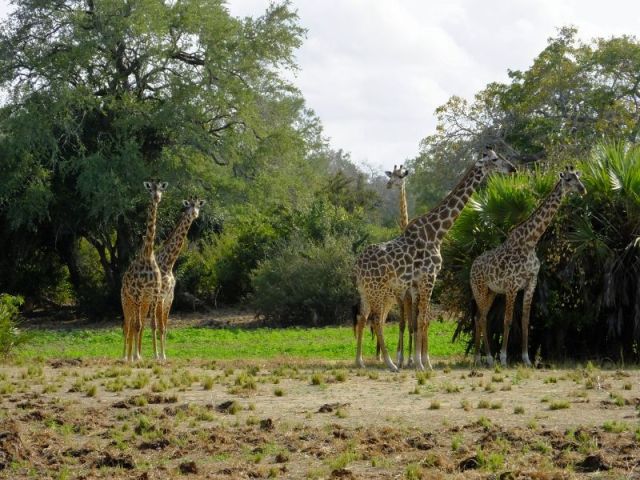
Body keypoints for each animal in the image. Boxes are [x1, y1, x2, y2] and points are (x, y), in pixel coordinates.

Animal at [121, 181, 168, 362]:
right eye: (150, 189)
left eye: (161, 189)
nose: (157, 197)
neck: (147, 253)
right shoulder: (138, 293)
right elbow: (137, 325)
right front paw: (136, 357)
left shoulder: (154, 293)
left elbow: (152, 325)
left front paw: (156, 356)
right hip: (128, 300)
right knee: (129, 325)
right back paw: (127, 357)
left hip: (142, 301)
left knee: (135, 324)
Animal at [150, 197, 206, 360]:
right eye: (189, 207)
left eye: (198, 206)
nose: (194, 214)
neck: (169, 263)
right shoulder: (161, 297)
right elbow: (160, 326)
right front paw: (160, 356)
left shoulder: (170, 297)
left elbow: (165, 327)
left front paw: (164, 355)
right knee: (147, 323)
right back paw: (150, 354)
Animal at [355, 147, 516, 371]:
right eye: (494, 159)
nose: (512, 168)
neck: (437, 233)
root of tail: (357, 265)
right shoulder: (428, 278)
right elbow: (422, 320)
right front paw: (421, 364)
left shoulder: (417, 284)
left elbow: (420, 321)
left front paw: (421, 362)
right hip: (378, 290)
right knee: (377, 320)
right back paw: (390, 364)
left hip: (366, 291)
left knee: (366, 318)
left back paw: (362, 361)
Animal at [470, 166, 586, 367]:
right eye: (569, 179)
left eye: (579, 177)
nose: (582, 189)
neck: (531, 242)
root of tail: (472, 266)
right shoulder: (512, 286)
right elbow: (508, 320)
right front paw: (504, 359)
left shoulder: (531, 283)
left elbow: (525, 320)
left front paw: (526, 359)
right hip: (479, 288)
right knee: (481, 317)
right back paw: (486, 358)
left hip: (492, 291)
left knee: (480, 317)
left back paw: (483, 358)